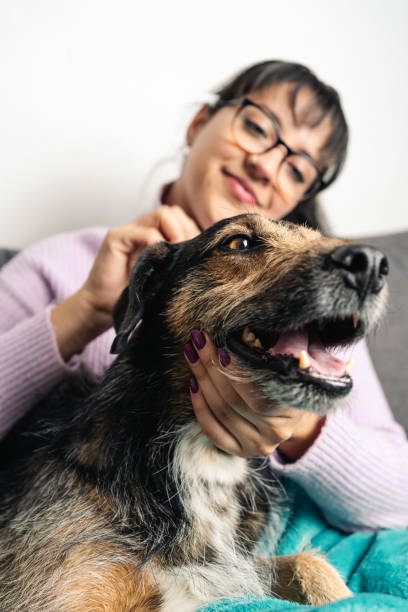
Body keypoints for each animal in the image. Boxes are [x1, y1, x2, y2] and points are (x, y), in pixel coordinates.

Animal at [0, 213, 388, 608]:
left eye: (316, 236)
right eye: (239, 243)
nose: (371, 263)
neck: (203, 455)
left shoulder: (230, 570)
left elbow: (313, 565)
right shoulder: (60, 591)